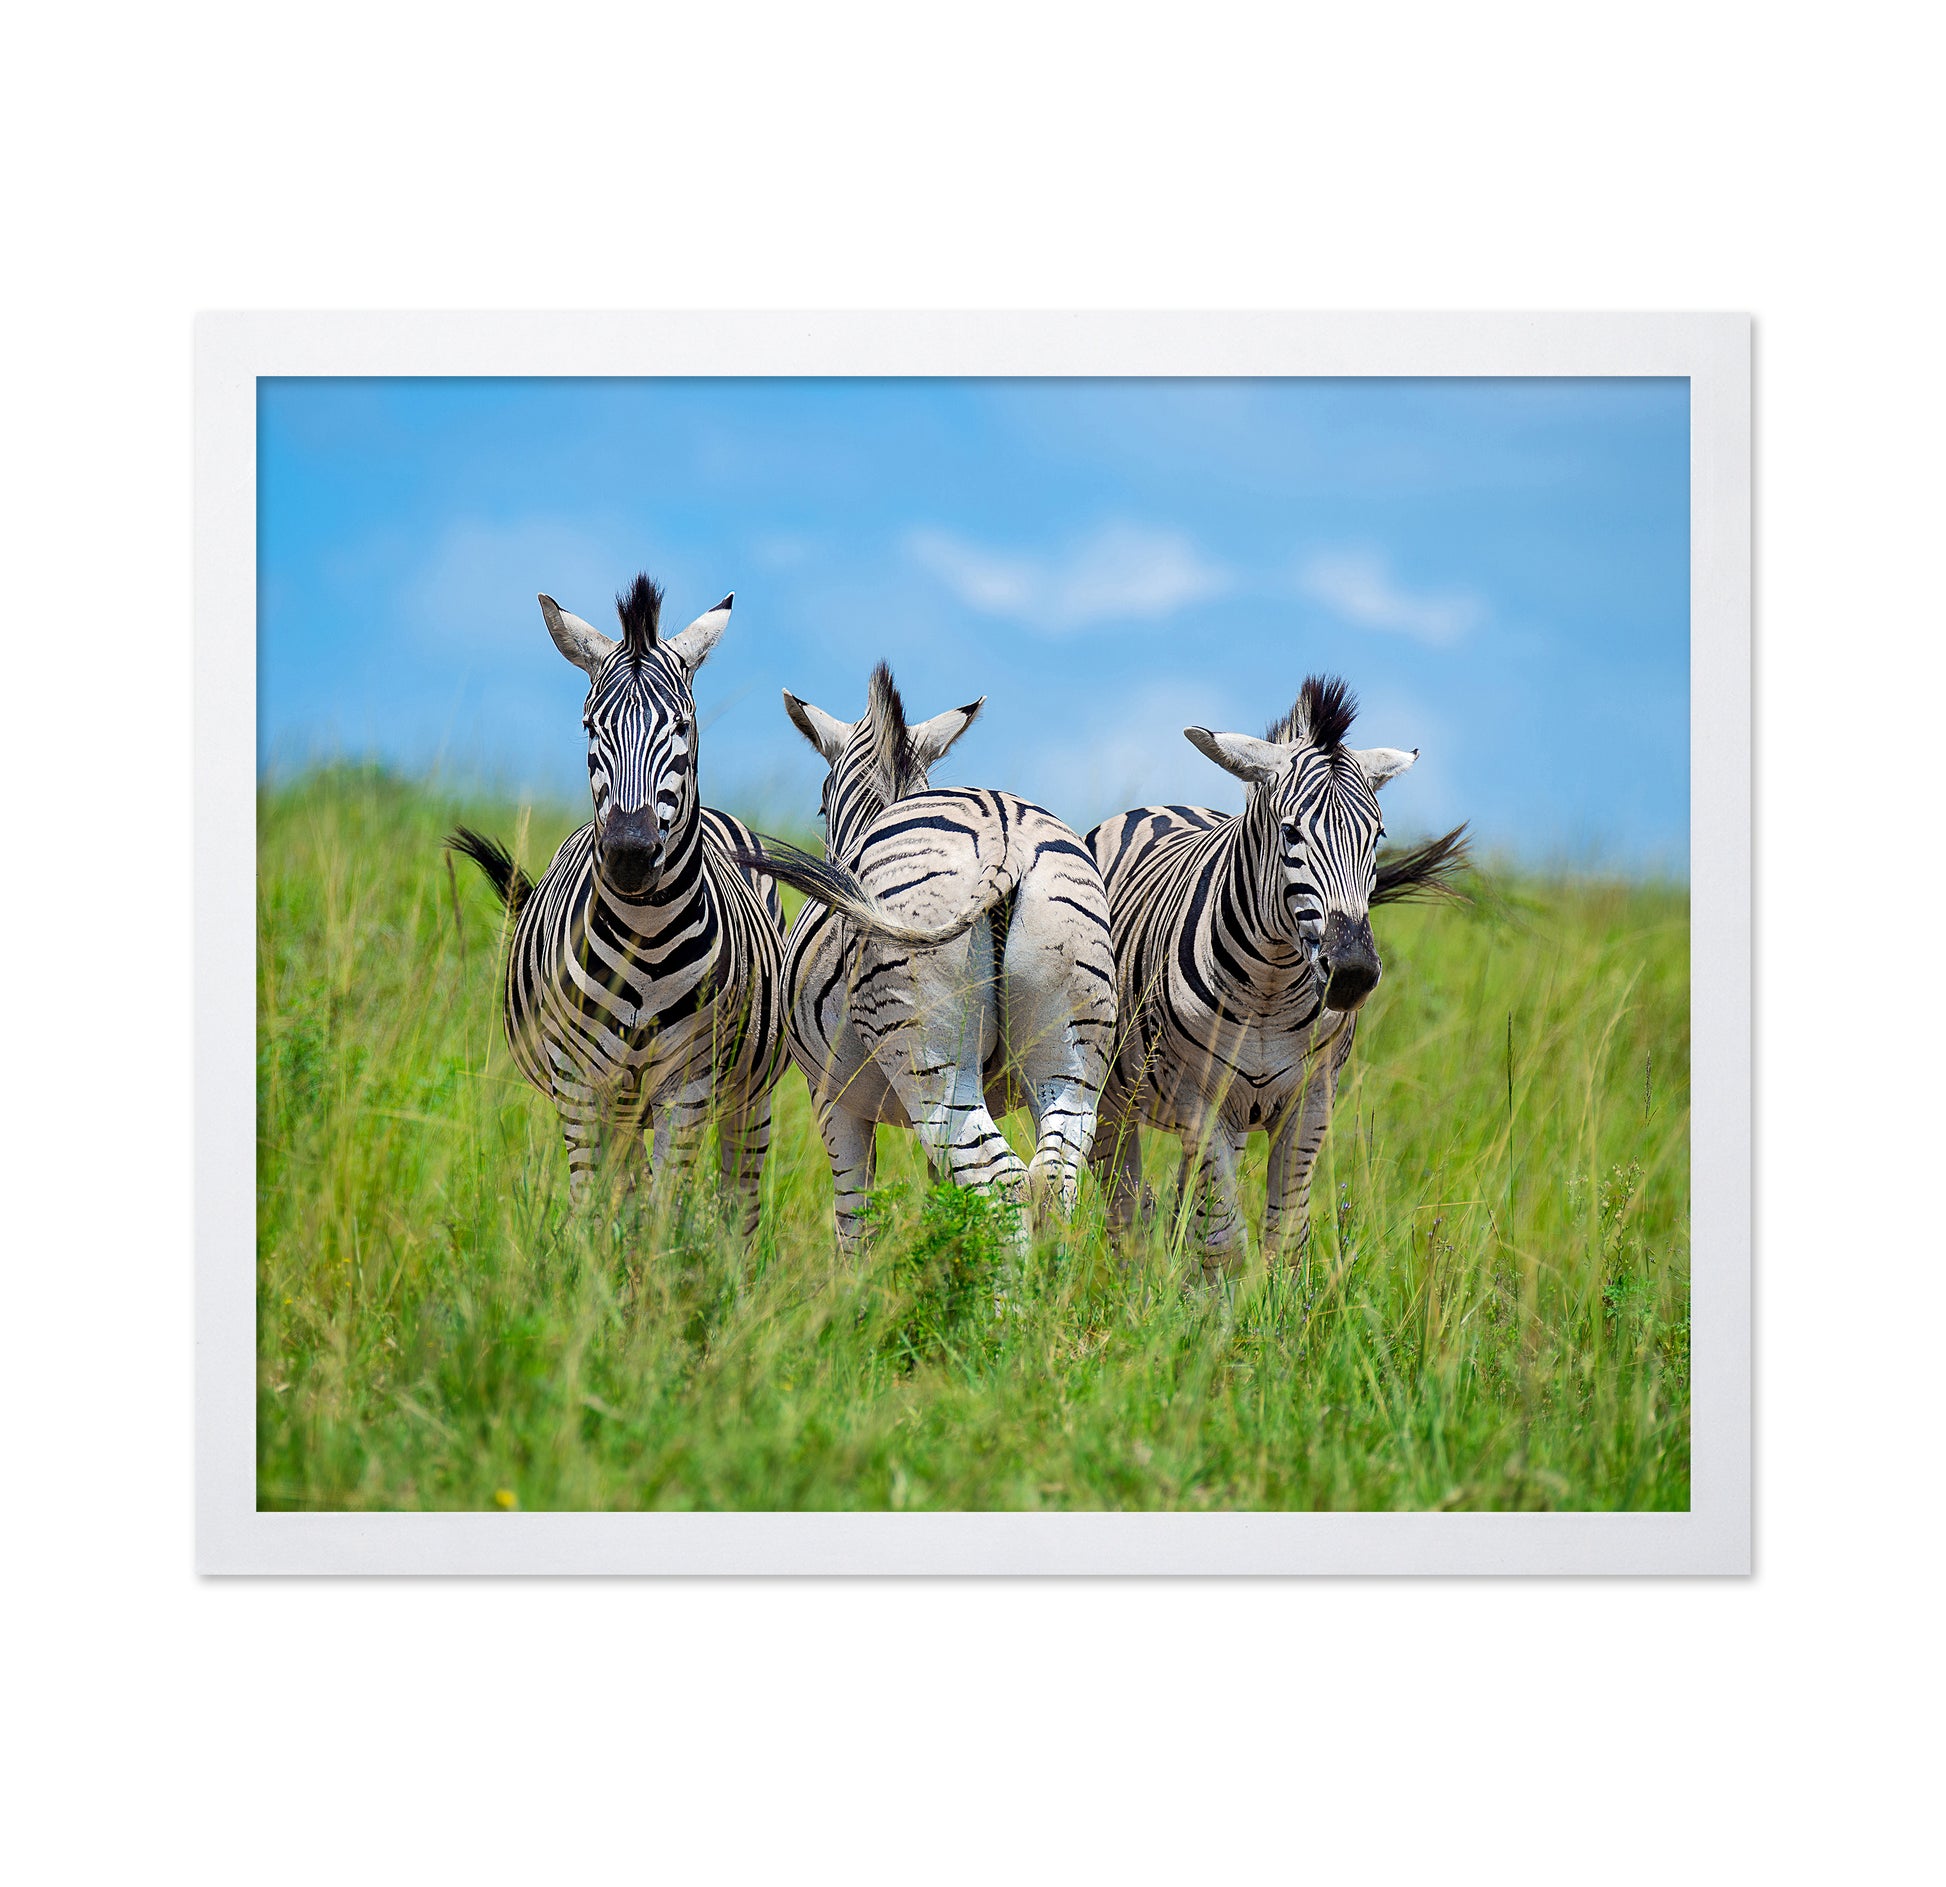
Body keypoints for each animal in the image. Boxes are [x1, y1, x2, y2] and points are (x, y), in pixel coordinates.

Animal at [448, 575, 789, 1234]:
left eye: (682, 725)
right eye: (590, 728)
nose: (630, 853)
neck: (645, 936)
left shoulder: (688, 1086)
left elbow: (664, 1216)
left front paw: (660, 1265)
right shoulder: (580, 1085)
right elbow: (594, 1210)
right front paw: (593, 1266)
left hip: (745, 1093)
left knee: (739, 1202)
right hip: (622, 1102)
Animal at [730, 663, 1116, 1251]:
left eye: (820, 804)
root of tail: (1004, 833)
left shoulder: (832, 1100)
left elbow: (854, 1217)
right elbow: (945, 1198)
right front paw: (945, 1262)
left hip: (930, 1055)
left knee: (1002, 1181)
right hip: (1070, 1055)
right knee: (1052, 1179)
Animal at [1085, 674, 1467, 1271]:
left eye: (1378, 837)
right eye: (1290, 833)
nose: (1352, 973)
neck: (1269, 988)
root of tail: (1162, 808)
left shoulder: (1311, 1101)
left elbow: (1284, 1238)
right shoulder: (1199, 1098)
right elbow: (1222, 1243)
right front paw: (1214, 1301)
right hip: (1111, 1099)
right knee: (1126, 1216)